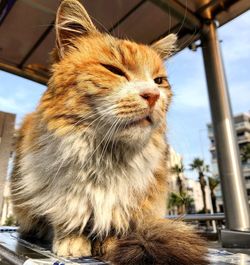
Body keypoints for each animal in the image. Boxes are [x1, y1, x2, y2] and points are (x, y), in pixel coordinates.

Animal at [10, 1, 208, 262]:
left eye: (159, 81)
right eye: (114, 70)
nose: (153, 95)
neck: (107, 159)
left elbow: (117, 224)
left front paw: (112, 243)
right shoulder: (56, 197)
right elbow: (67, 217)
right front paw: (72, 241)